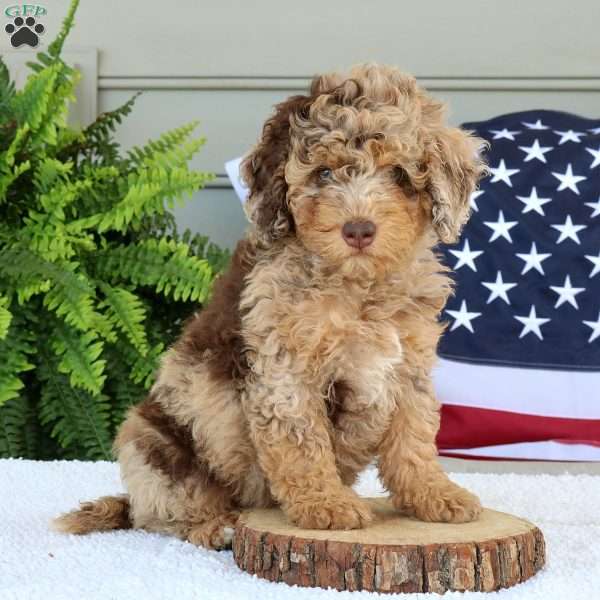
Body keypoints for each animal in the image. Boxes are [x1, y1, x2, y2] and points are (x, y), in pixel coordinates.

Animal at [55, 64, 488, 548]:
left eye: (398, 174)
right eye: (323, 174)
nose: (359, 230)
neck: (357, 287)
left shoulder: (408, 364)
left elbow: (414, 435)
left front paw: (435, 495)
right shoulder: (284, 369)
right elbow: (303, 440)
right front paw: (327, 505)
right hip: (153, 444)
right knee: (170, 510)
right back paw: (216, 526)